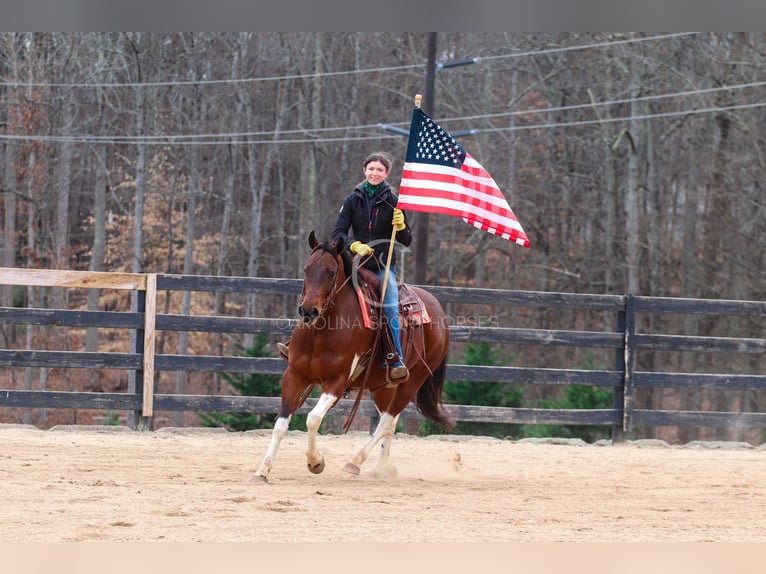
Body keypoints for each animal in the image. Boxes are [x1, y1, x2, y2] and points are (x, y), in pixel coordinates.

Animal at [255, 232, 452, 484]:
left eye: (331, 272)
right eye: (307, 269)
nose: (308, 311)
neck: (320, 333)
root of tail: (437, 309)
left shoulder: (337, 382)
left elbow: (313, 418)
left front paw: (316, 462)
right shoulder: (294, 375)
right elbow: (281, 424)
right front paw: (263, 470)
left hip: (412, 381)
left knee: (386, 421)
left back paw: (355, 462)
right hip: (385, 386)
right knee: (390, 422)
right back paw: (380, 468)